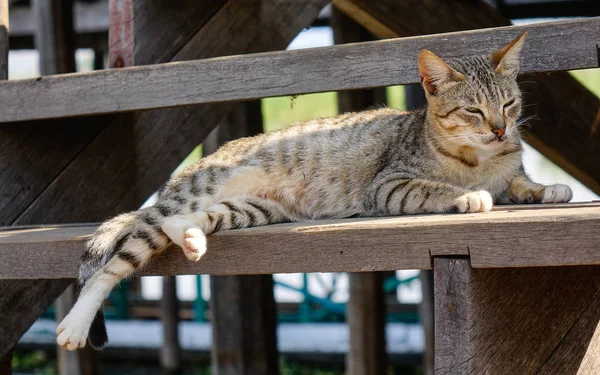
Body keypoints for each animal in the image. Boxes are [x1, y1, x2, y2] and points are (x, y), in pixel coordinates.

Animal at [56, 30, 572, 352]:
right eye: (472, 110)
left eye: (509, 103)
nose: (501, 130)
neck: (481, 160)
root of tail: (177, 182)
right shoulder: (389, 187)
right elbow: (434, 186)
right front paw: (467, 196)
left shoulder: (509, 167)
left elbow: (520, 182)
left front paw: (546, 188)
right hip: (187, 202)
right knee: (114, 264)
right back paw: (76, 322)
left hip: (251, 210)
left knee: (188, 223)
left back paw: (192, 238)